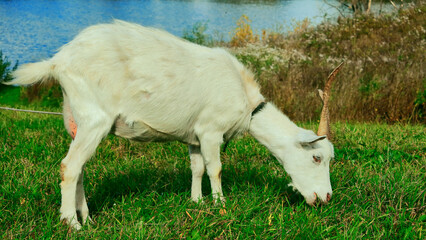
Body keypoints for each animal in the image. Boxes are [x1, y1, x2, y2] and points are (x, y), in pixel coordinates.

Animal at [2, 19, 340, 230]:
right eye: (316, 157)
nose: (326, 199)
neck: (246, 102)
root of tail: (58, 61)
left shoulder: (194, 136)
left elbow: (197, 168)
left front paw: (196, 201)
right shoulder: (211, 130)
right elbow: (216, 169)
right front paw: (220, 205)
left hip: (74, 118)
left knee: (79, 167)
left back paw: (87, 217)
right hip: (94, 117)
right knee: (69, 166)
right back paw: (71, 224)